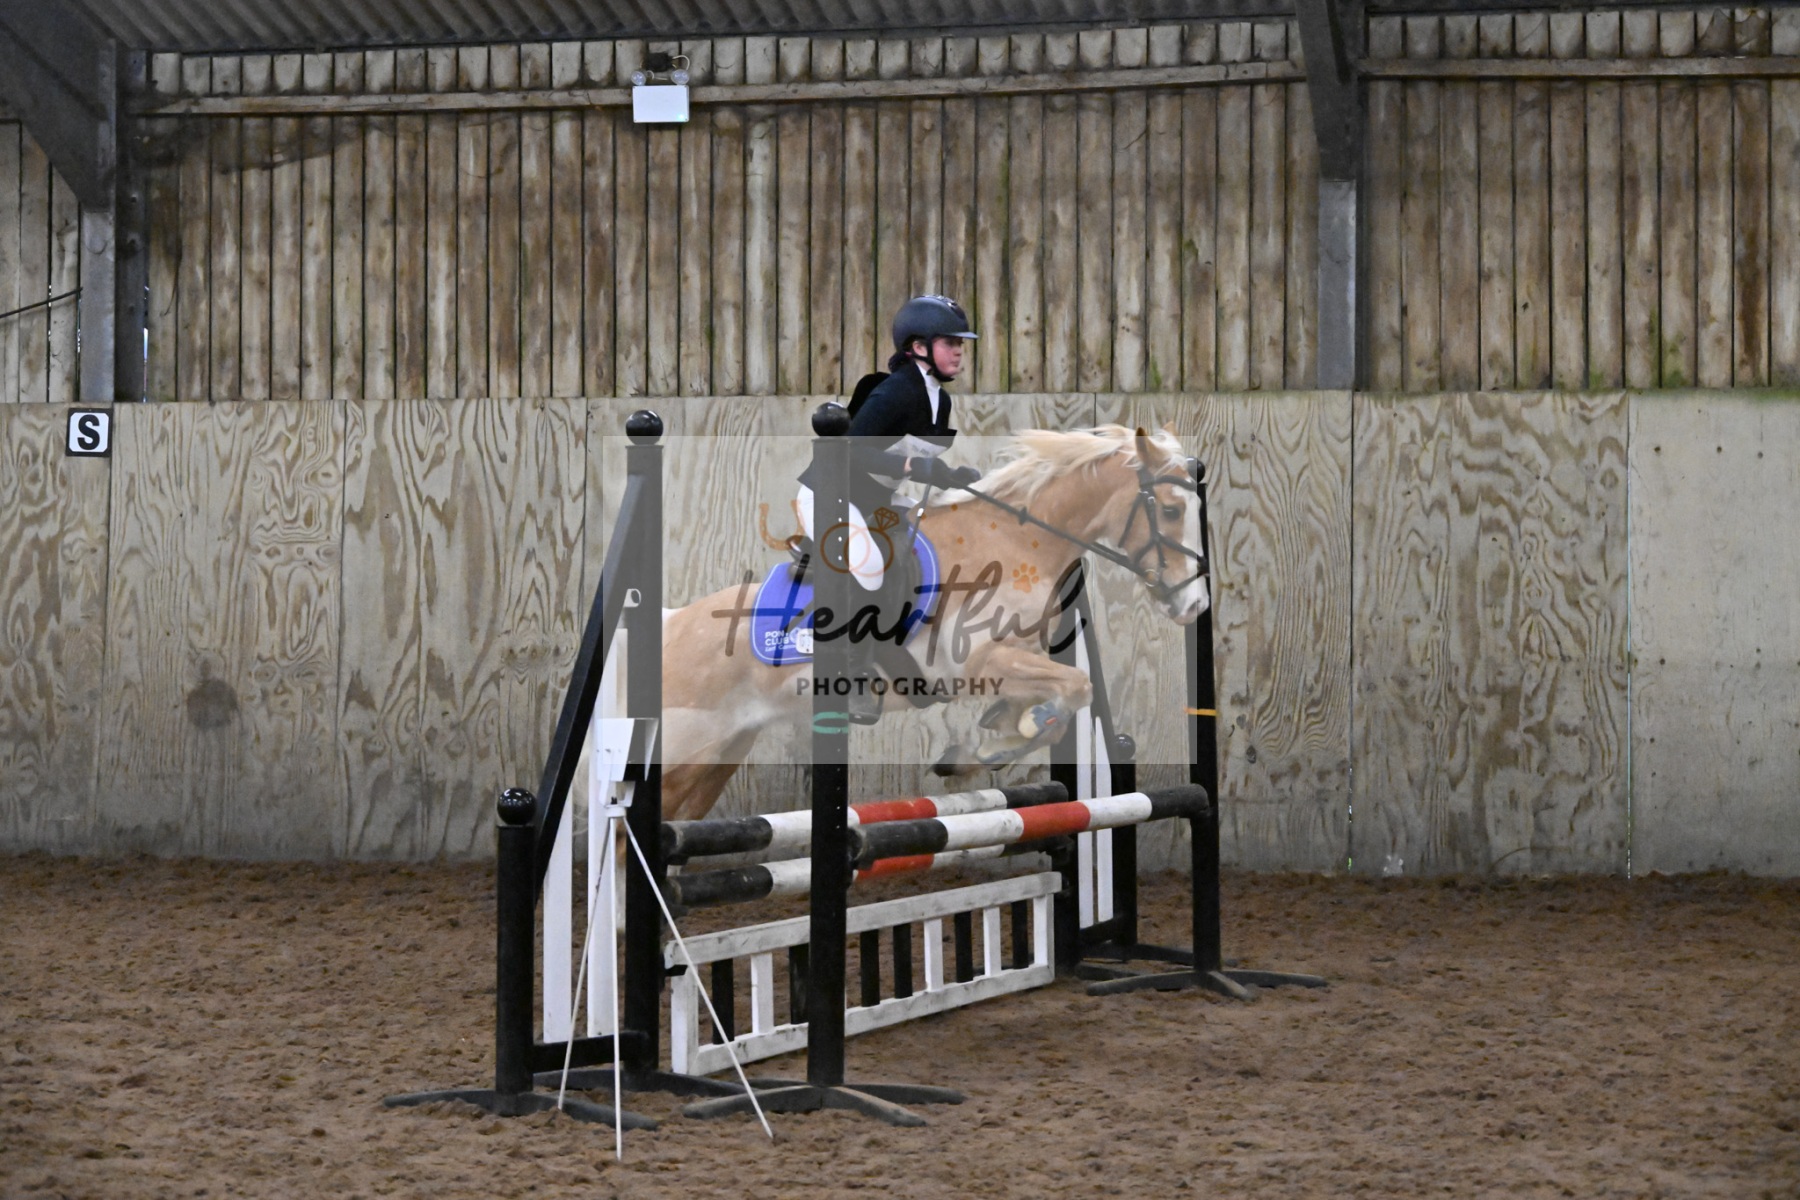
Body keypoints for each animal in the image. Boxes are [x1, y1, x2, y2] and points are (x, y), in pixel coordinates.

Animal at [658, 424, 1210, 824]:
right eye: (1170, 509)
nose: (1194, 605)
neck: (1014, 541)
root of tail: (673, 627)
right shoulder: (979, 662)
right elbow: (1076, 687)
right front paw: (1003, 739)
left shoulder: (1018, 657)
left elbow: (1058, 694)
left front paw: (991, 739)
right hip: (687, 753)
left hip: (720, 757)